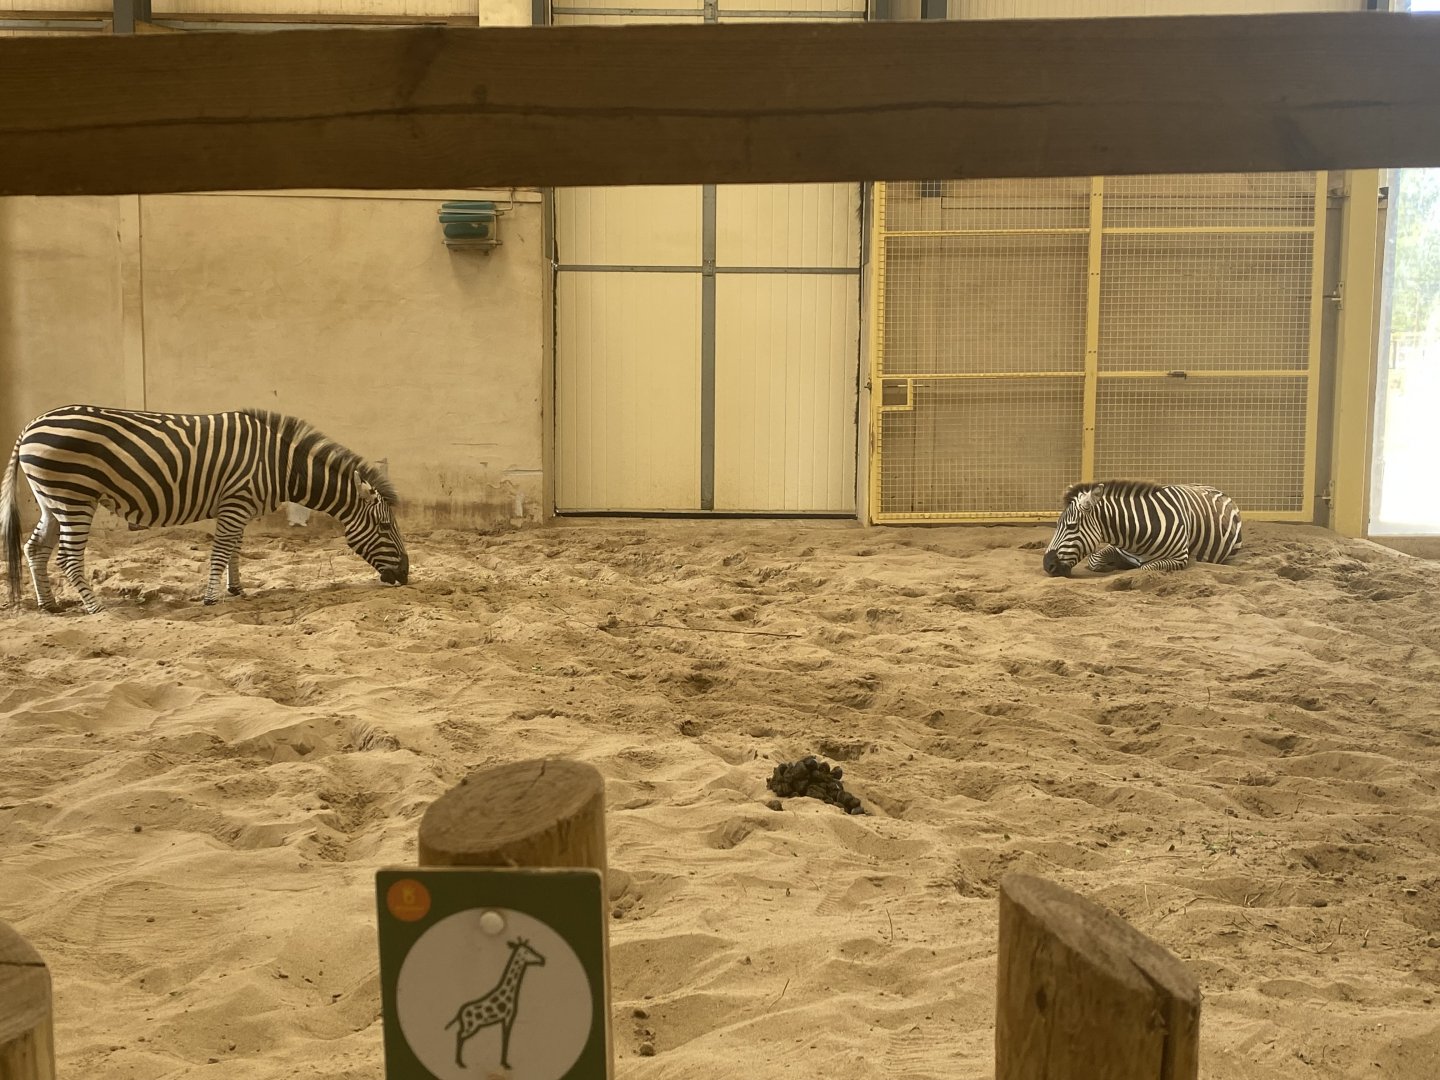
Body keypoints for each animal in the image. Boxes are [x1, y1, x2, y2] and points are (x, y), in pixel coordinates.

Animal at [2, 404, 409, 614]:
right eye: (385, 528)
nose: (406, 576)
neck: (281, 466)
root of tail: (30, 425)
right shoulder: (235, 503)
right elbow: (221, 550)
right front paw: (212, 597)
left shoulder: (240, 505)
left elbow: (235, 549)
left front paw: (237, 588)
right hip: (74, 497)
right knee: (68, 556)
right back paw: (97, 609)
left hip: (51, 499)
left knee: (34, 547)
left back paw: (50, 605)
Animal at [1042, 479, 1242, 578]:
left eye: (1071, 526)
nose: (1047, 565)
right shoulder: (1117, 546)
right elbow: (1094, 560)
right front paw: (1111, 565)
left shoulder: (1179, 558)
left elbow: (1144, 569)